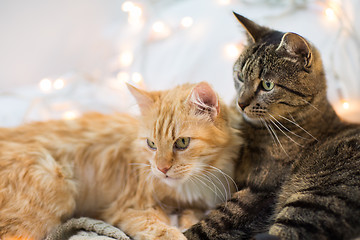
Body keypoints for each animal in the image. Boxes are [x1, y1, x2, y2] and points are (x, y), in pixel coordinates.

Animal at [0, 81, 242, 239]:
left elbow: (193, 214)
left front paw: (186, 220)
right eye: (152, 144)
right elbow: (161, 229)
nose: (161, 168)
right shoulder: (131, 208)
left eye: (182, 142)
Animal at [184, 13, 360, 240]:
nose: (241, 103)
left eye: (267, 85)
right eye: (240, 76)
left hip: (316, 198)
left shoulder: (260, 191)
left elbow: (209, 224)